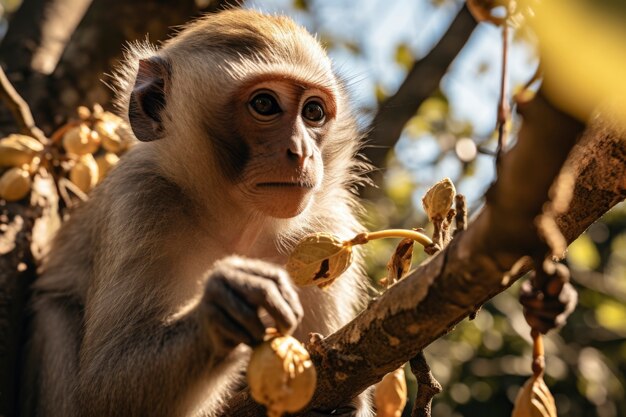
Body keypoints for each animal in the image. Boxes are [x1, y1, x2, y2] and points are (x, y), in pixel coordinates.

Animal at [22, 8, 372, 416]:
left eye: (313, 111)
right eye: (265, 105)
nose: (302, 152)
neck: (238, 225)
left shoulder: (328, 229)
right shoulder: (140, 199)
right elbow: (100, 392)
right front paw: (221, 312)